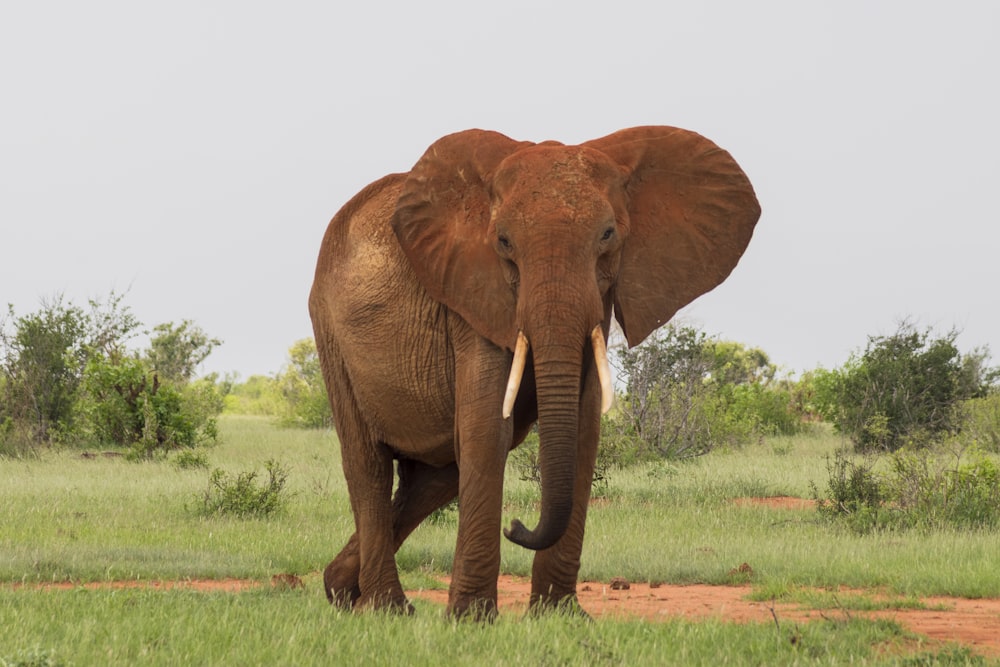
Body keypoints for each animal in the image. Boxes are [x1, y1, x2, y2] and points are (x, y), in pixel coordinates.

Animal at [308, 126, 760, 620]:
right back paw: (386, 609)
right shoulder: (472, 294)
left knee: (433, 479)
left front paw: (559, 616)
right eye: (504, 242)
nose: (516, 525)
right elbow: (489, 429)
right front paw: (471, 619)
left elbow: (582, 430)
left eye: (608, 235)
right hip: (330, 331)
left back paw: (341, 590)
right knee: (368, 465)